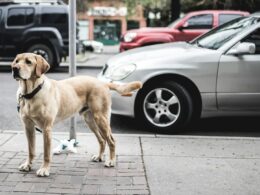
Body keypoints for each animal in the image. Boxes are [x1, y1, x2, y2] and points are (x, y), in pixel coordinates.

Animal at [11, 52, 142, 176]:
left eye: (28, 62)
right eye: (16, 61)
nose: (14, 68)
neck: (31, 93)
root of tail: (103, 84)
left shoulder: (46, 128)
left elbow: (46, 153)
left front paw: (44, 169)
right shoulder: (28, 127)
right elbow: (31, 150)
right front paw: (28, 165)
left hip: (101, 118)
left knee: (111, 140)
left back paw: (111, 161)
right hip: (90, 120)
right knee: (102, 140)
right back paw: (99, 157)